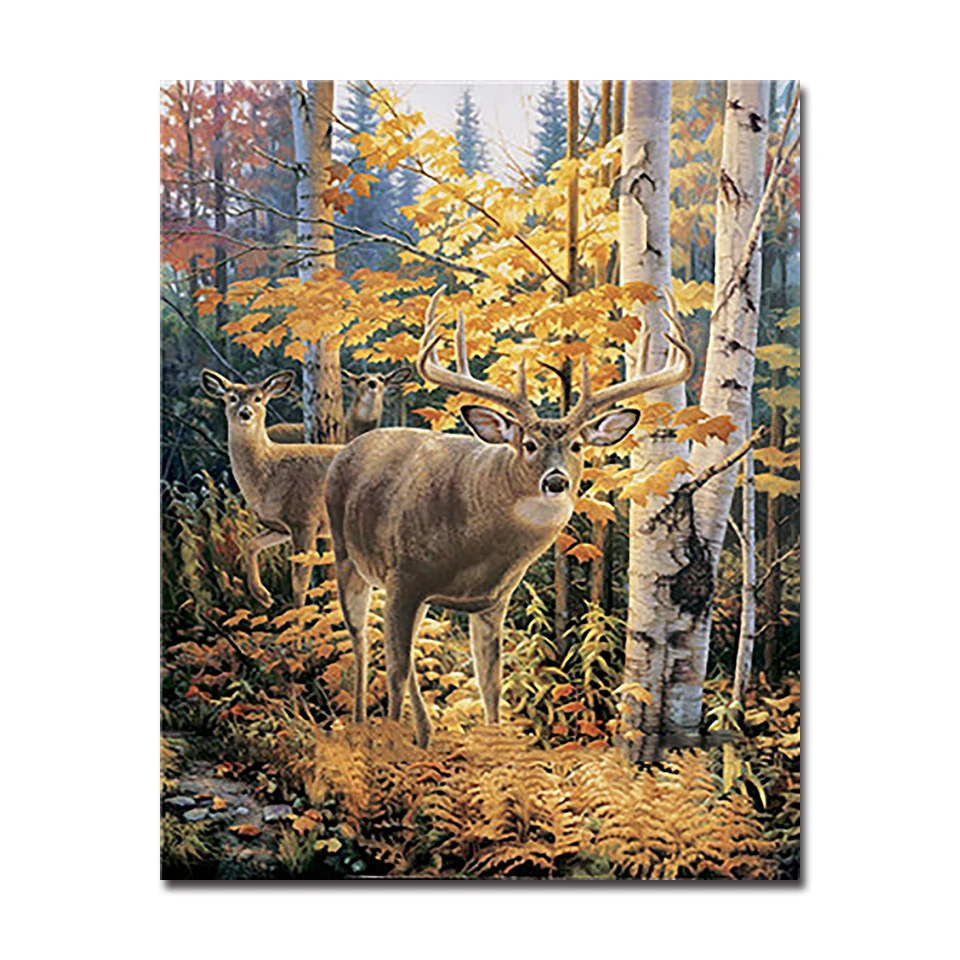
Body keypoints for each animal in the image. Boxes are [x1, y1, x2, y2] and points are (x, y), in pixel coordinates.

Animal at [200, 369, 343, 609]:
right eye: (232, 397)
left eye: (258, 398)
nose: (245, 413)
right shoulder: (281, 527)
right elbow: (250, 544)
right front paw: (263, 596)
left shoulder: (304, 520)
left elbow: (299, 582)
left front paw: (298, 617)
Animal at [324, 288, 693, 747]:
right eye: (529, 444)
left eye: (576, 446)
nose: (556, 481)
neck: (474, 550)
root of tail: (348, 449)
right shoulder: (404, 578)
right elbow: (395, 669)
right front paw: (393, 745)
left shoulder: (491, 599)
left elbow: (490, 681)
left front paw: (492, 741)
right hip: (346, 554)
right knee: (359, 636)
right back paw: (361, 722)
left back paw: (423, 732)